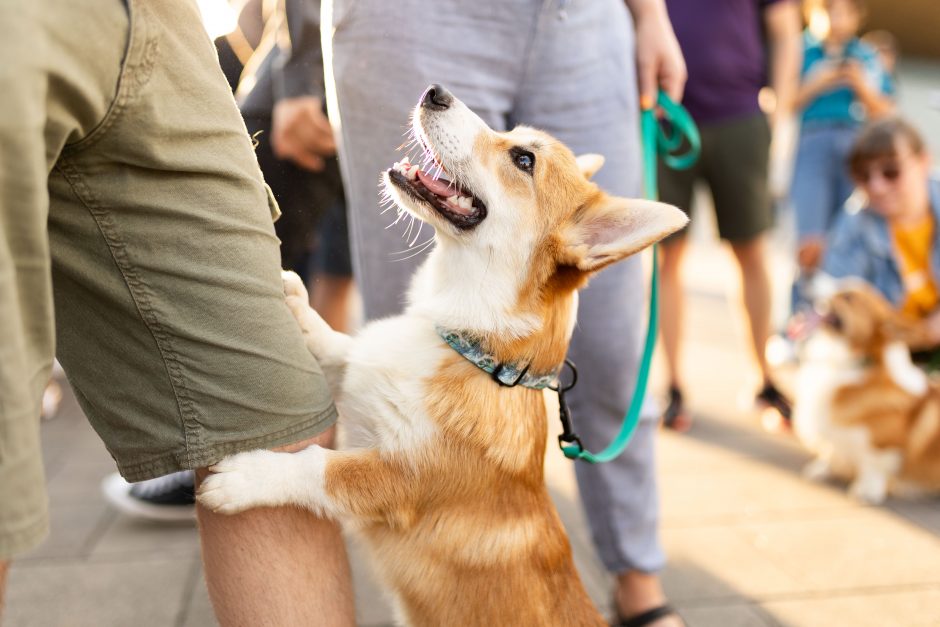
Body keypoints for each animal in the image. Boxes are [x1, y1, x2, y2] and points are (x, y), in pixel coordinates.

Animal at [196, 84, 684, 627]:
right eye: (515, 138)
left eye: (523, 159)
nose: (436, 92)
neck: (469, 348)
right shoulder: (363, 373)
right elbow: (343, 349)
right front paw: (299, 306)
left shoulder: (396, 480)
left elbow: (320, 468)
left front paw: (245, 478)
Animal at [796, 282, 940, 502]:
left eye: (848, 297)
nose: (807, 280)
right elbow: (830, 451)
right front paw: (821, 469)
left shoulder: (884, 446)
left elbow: (873, 466)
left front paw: (866, 491)